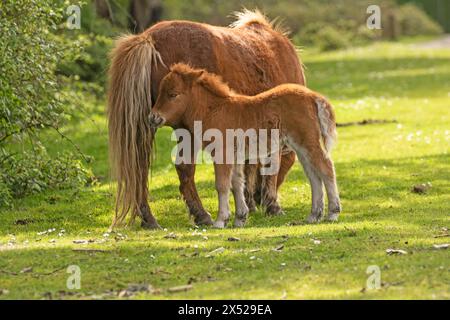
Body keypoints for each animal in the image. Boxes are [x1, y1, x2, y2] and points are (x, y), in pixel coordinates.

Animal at [109, 8, 306, 229]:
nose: (258, 199)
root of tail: (147, 39)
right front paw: (272, 205)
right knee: (184, 167)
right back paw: (201, 214)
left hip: (147, 126)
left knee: (140, 167)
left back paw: (149, 219)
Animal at [150, 63, 342, 226]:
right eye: (160, 92)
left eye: (173, 94)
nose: (153, 117)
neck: (214, 110)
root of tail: (313, 96)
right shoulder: (235, 156)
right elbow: (237, 183)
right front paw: (240, 218)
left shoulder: (222, 153)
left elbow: (222, 185)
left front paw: (221, 220)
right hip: (301, 146)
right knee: (313, 174)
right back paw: (314, 215)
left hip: (307, 142)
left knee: (326, 167)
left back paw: (332, 213)